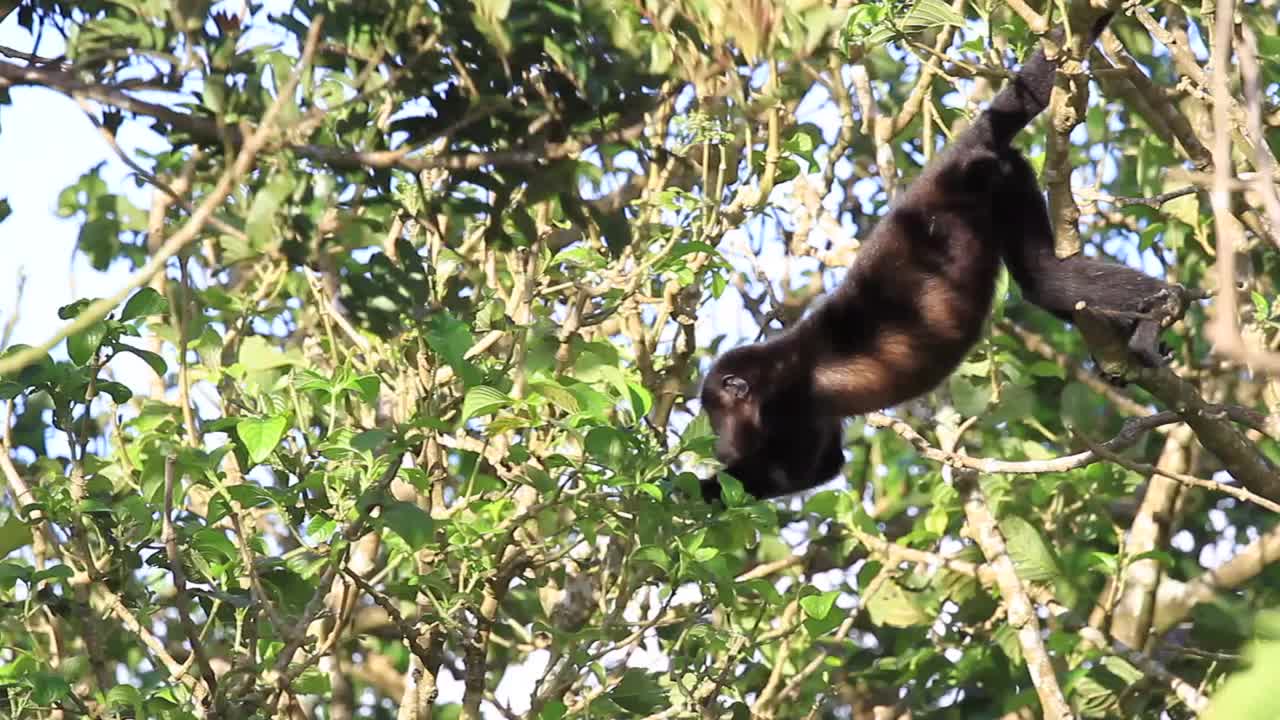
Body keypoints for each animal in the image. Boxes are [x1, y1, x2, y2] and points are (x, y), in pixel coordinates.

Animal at [696, 14, 1182, 502]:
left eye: (716, 417)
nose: (720, 446)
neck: (768, 375)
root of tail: (944, 168)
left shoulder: (787, 400)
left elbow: (794, 469)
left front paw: (700, 488)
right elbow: (823, 465)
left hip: (973, 183)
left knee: (1043, 283)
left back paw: (1162, 306)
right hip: (1005, 175)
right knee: (1044, 278)